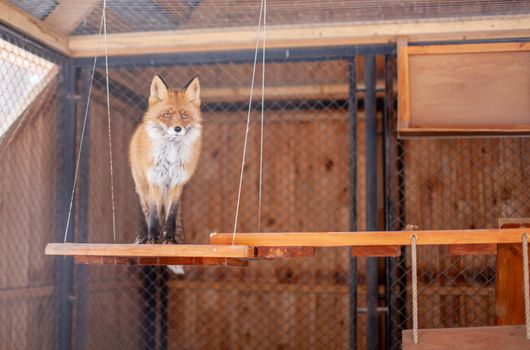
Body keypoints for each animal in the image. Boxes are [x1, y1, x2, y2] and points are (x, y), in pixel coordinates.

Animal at [129, 76, 201, 246]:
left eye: (184, 116)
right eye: (167, 115)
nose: (177, 129)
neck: (171, 156)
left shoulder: (177, 183)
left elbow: (171, 217)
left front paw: (169, 239)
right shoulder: (155, 180)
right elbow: (154, 216)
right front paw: (153, 239)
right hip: (143, 190)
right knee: (149, 214)